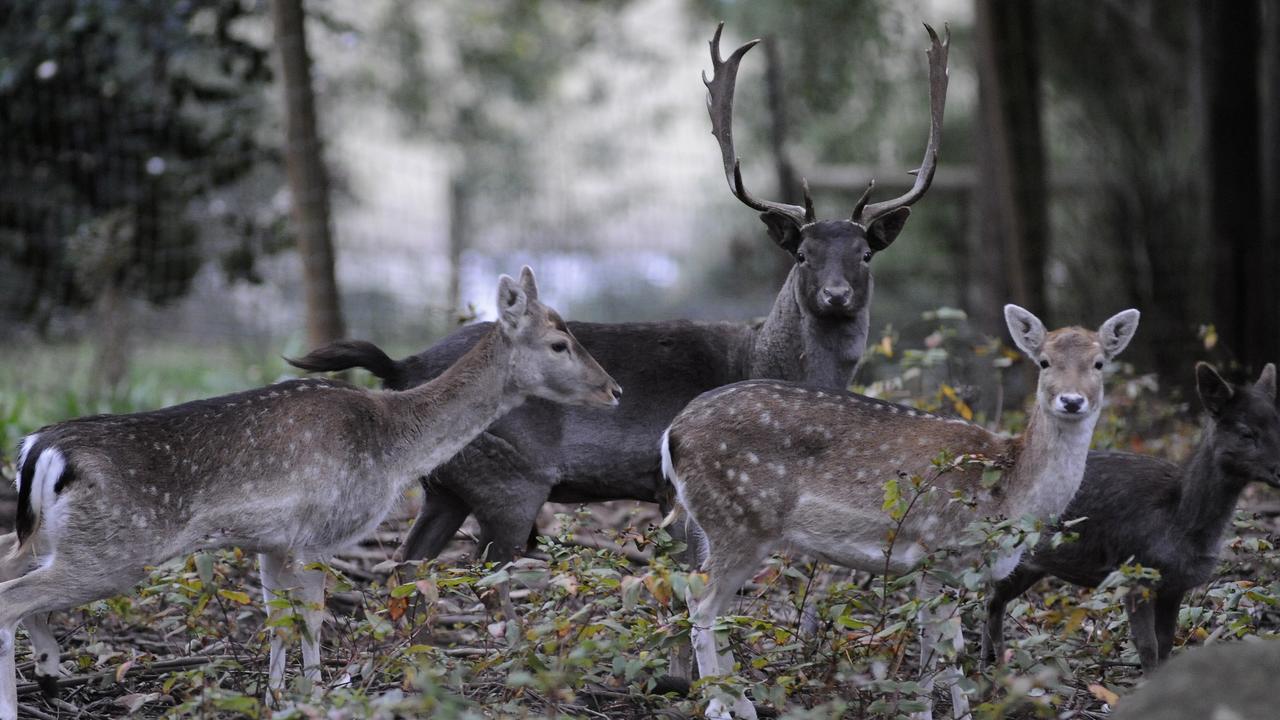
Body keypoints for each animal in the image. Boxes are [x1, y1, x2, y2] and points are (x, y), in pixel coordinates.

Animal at [0, 266, 619, 712]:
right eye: (559, 343)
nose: (613, 389)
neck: (394, 445)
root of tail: (39, 449)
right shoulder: (318, 534)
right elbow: (312, 617)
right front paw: (319, 693)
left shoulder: (271, 543)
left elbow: (277, 621)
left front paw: (278, 696)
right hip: (112, 549)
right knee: (13, 599)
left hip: (43, 537)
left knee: (11, 574)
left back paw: (50, 672)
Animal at [660, 303, 1141, 717]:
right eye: (1043, 362)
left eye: (1100, 363)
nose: (1072, 401)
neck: (1008, 491)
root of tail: (672, 434)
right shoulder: (937, 550)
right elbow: (943, 654)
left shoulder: (947, 571)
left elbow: (940, 649)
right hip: (739, 520)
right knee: (701, 606)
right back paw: (718, 708)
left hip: (716, 524)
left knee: (708, 603)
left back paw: (742, 704)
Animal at [983, 361, 1274, 671]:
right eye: (1245, 432)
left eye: (1279, 423)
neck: (1179, 524)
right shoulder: (1133, 574)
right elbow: (1148, 648)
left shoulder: (1175, 586)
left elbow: (1166, 645)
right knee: (991, 599)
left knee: (993, 601)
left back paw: (989, 664)